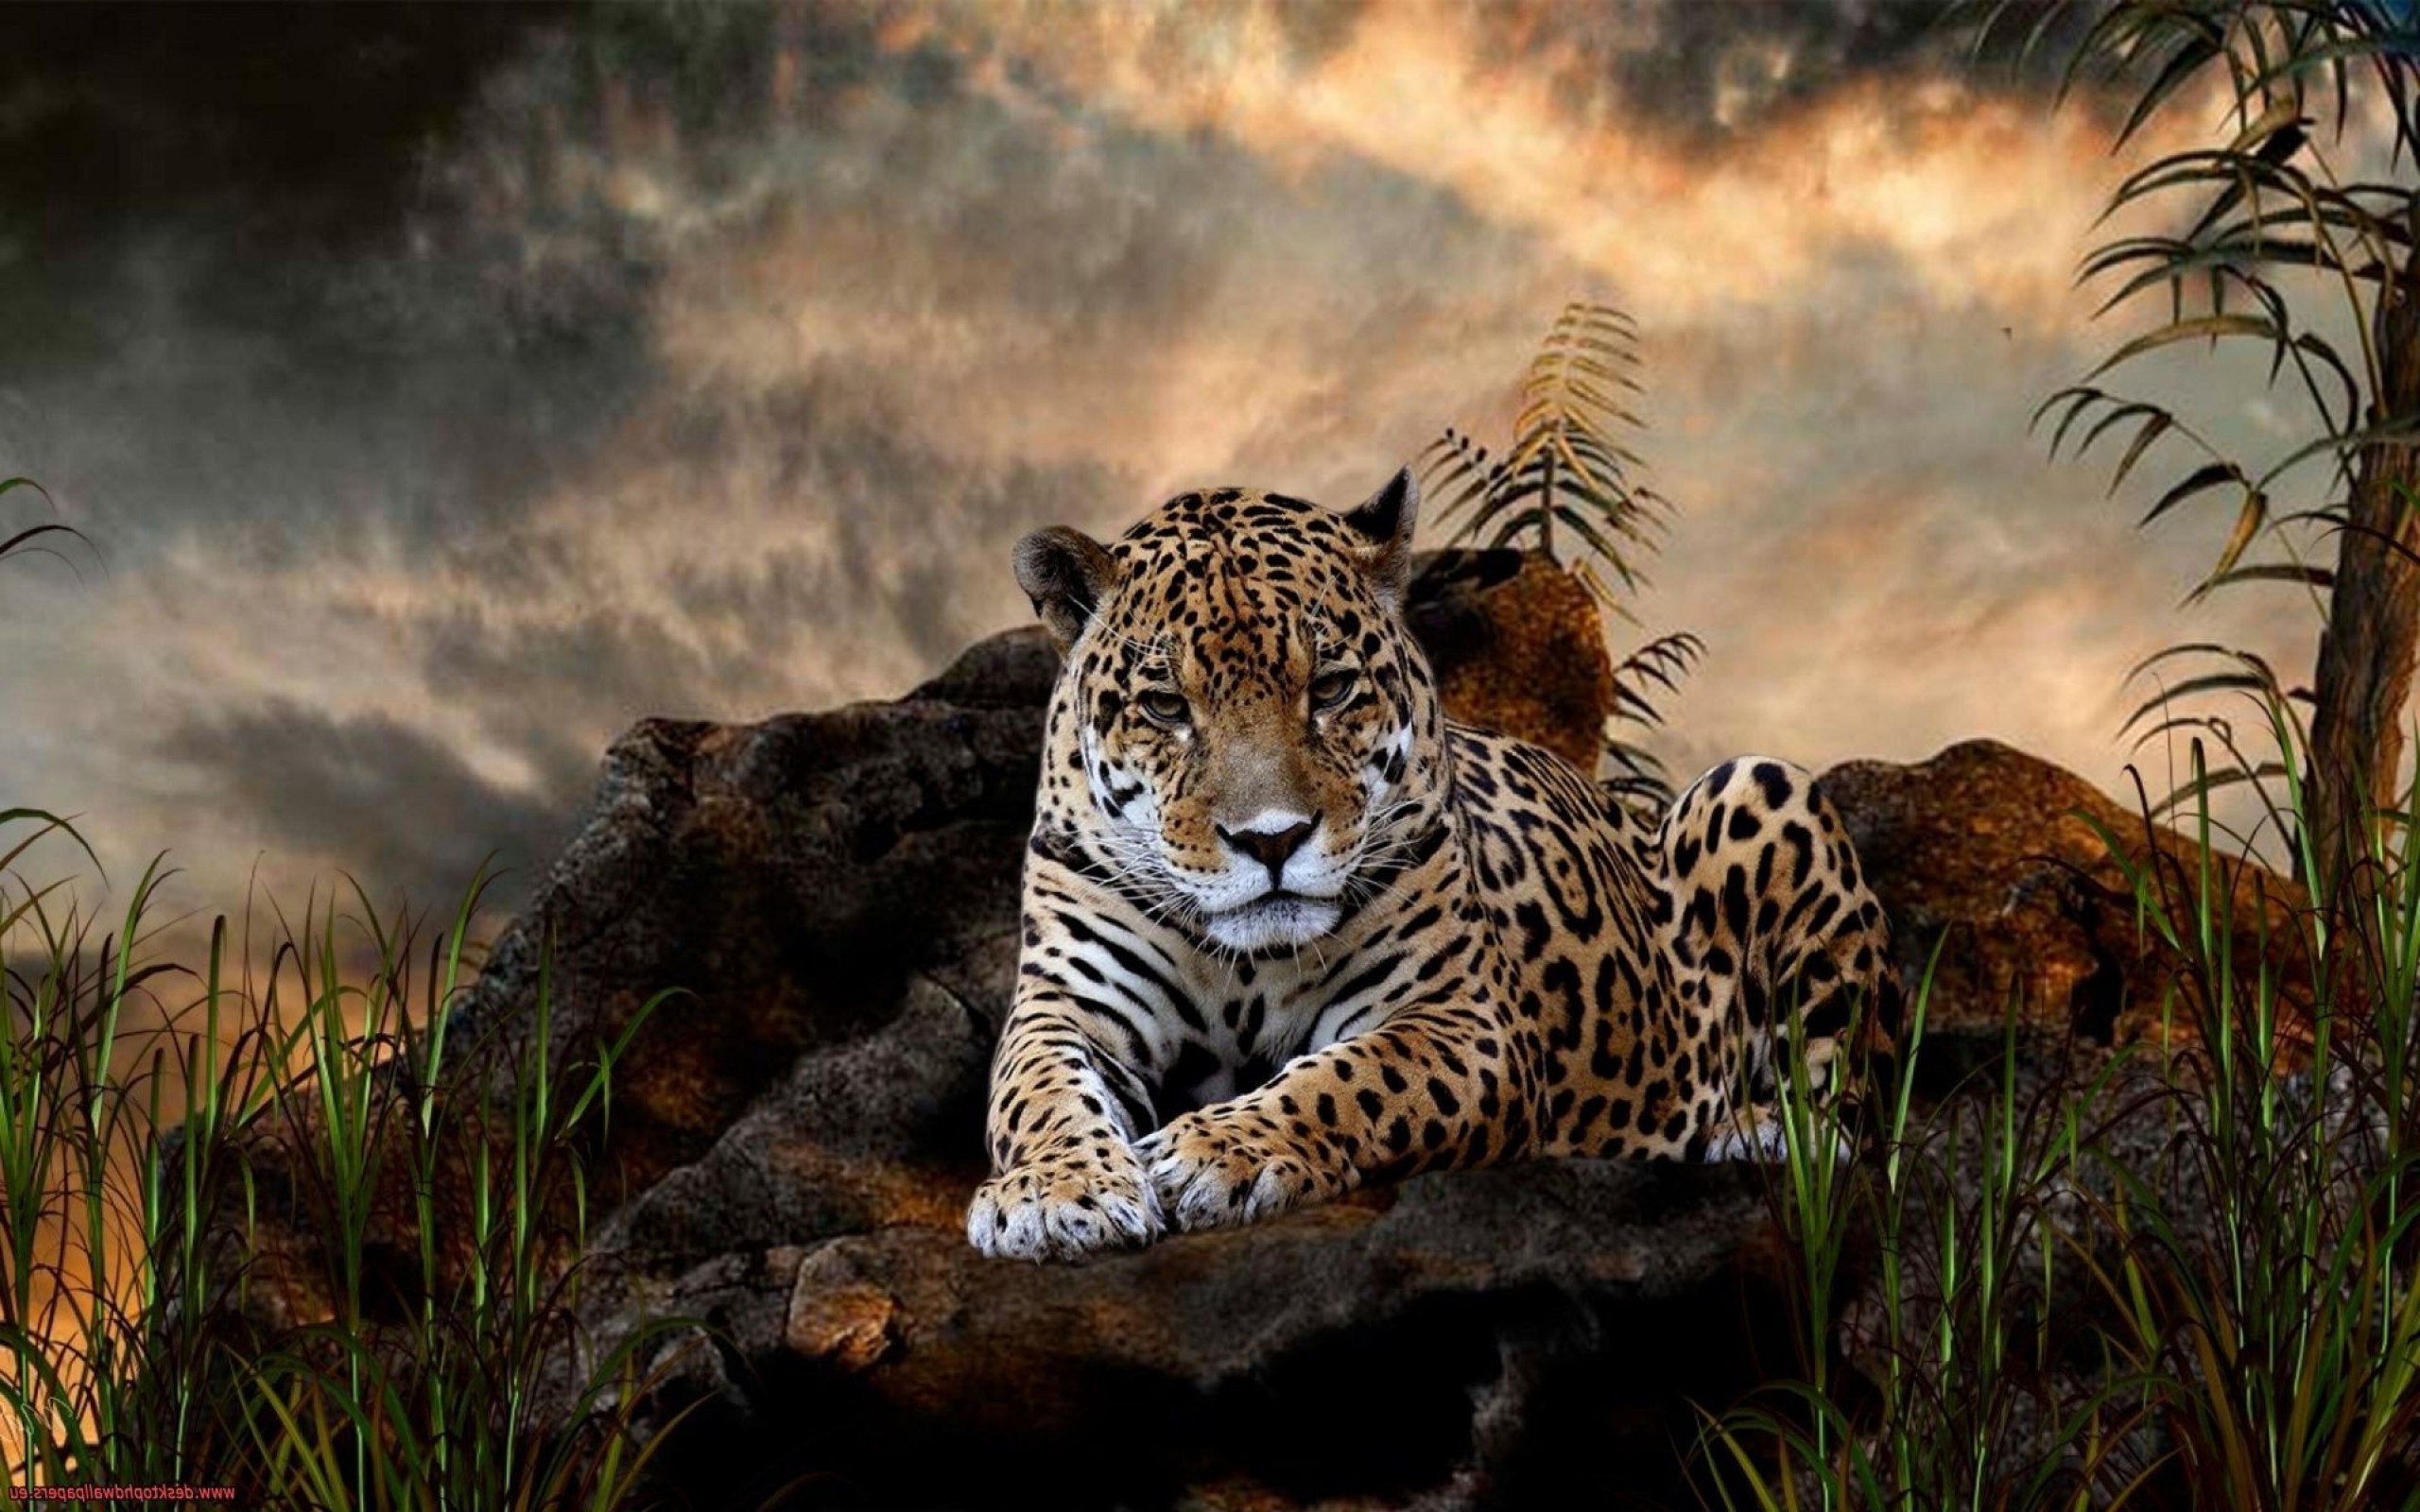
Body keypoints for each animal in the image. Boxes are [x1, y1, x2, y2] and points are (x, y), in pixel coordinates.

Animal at [966, 467, 1900, 1262]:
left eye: (1330, 689)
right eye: (1165, 707)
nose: (1271, 840)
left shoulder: (1460, 1021)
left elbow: (1348, 1080)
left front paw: (1214, 1151)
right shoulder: (1067, 1005)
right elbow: (1038, 1091)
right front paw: (1055, 1193)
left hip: (1761, 786)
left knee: (1855, 1112)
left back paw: (1757, 1132)